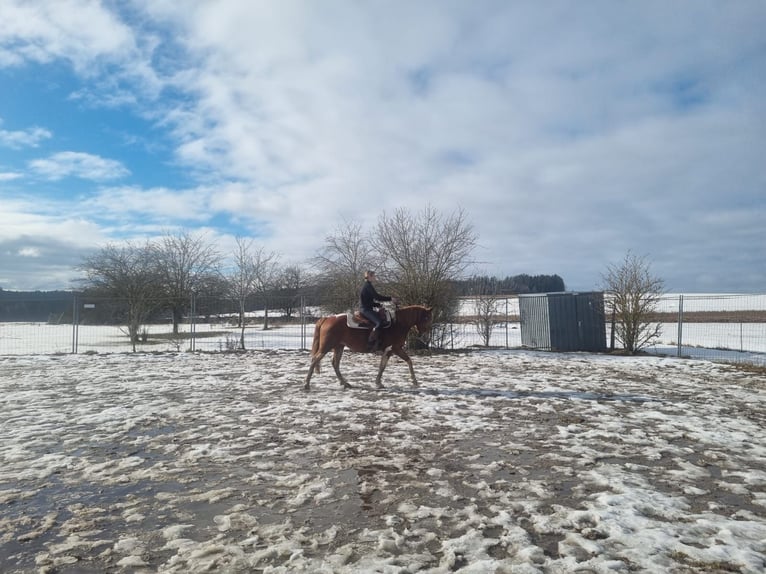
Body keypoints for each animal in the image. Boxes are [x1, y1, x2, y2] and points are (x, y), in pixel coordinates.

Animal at [304, 305, 433, 391]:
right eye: (426, 318)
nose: (426, 336)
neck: (398, 324)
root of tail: (327, 318)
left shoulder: (389, 350)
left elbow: (382, 366)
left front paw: (378, 383)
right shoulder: (396, 348)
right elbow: (409, 361)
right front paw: (415, 381)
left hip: (339, 347)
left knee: (335, 364)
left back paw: (345, 383)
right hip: (326, 347)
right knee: (315, 360)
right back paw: (306, 384)